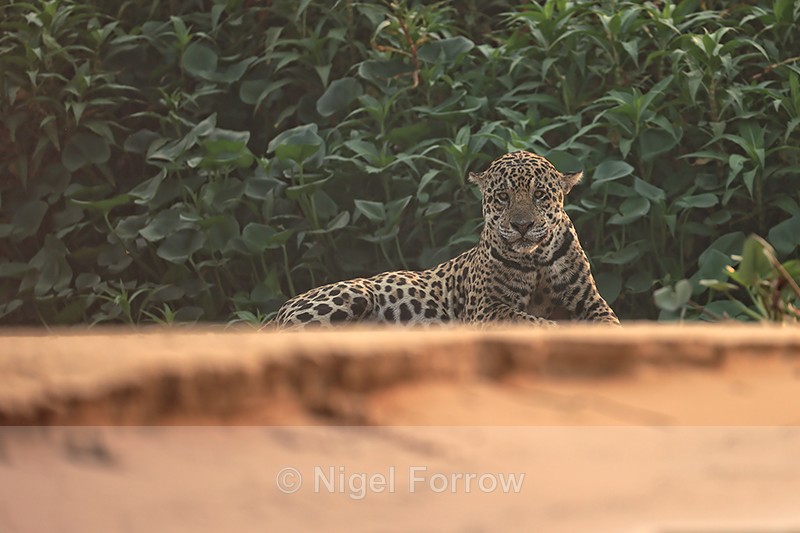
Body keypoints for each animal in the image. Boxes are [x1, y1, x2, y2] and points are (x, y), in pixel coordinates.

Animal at [273, 150, 620, 329]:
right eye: (503, 197)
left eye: (540, 195)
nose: (522, 225)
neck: (535, 259)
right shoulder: (487, 308)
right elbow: (534, 322)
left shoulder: (592, 302)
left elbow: (609, 324)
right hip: (352, 294)